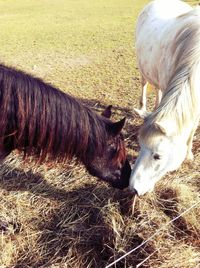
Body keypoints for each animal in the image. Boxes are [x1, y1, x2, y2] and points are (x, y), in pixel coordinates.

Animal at [130, 0, 200, 196]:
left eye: (157, 156)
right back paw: (144, 107)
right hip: (144, 71)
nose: (133, 188)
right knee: (145, 85)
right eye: (139, 145)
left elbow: (192, 129)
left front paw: (189, 154)